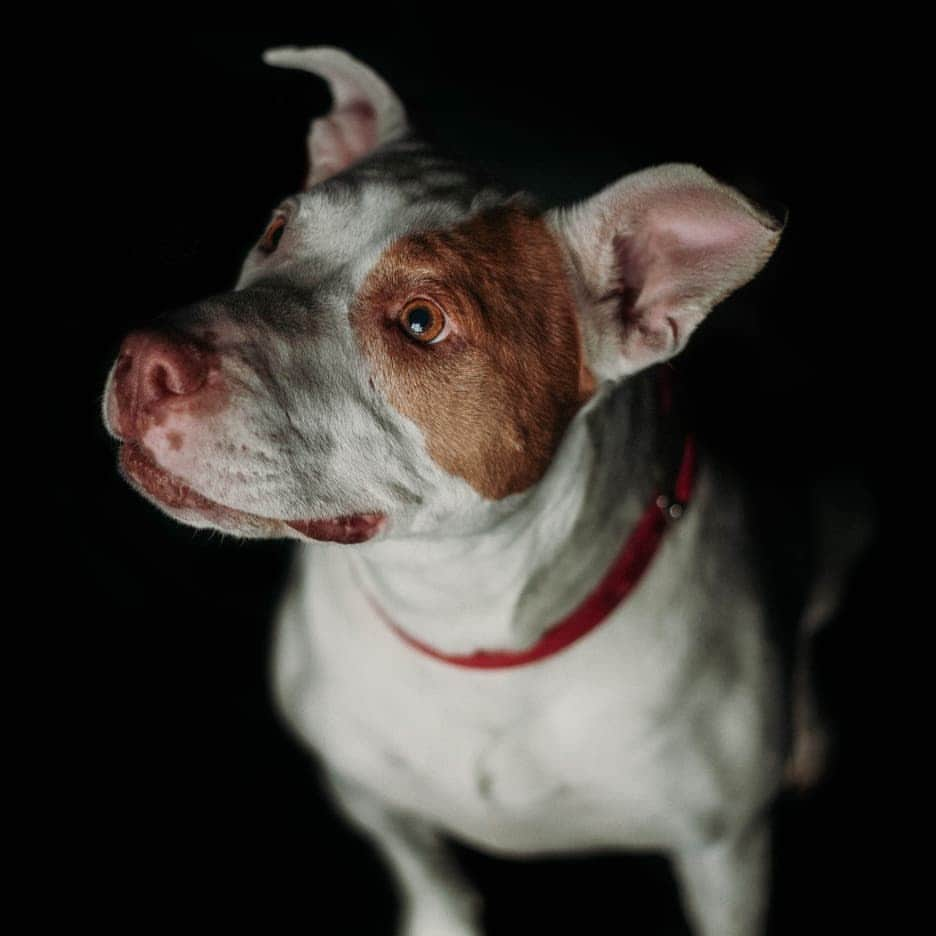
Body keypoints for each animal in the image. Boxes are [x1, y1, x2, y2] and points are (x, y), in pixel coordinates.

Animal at [98, 45, 868, 936]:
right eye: (276, 231)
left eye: (422, 322)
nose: (147, 360)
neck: (464, 608)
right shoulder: (364, 788)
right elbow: (430, 874)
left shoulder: (724, 853)